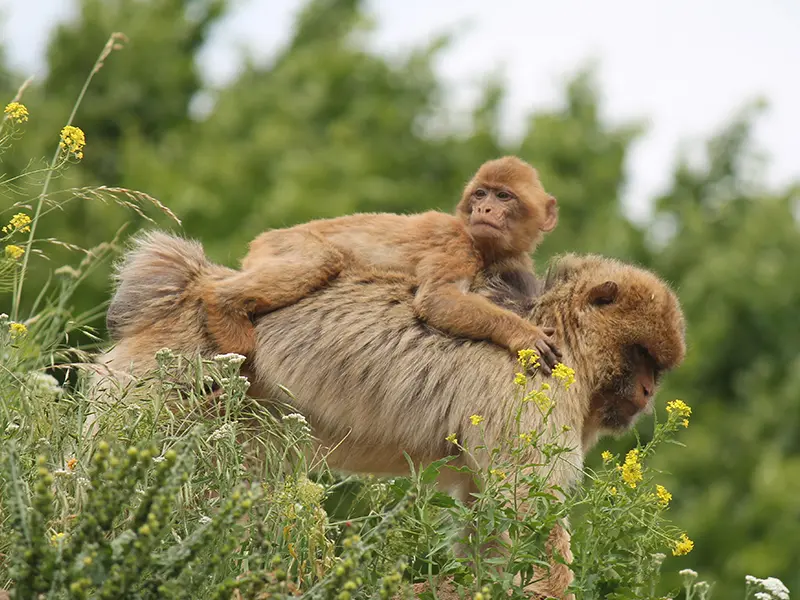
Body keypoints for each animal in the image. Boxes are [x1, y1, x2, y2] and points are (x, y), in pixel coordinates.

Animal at [97, 231, 686, 599]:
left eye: (657, 367)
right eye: (641, 355)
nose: (647, 390)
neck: (561, 336)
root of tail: (186, 288)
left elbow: (492, 524)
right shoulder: (537, 394)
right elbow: (524, 513)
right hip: (170, 379)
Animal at [194, 156, 562, 372]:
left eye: (503, 197)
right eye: (481, 194)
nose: (484, 210)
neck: (484, 249)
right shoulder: (457, 245)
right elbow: (436, 299)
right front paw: (521, 334)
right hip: (281, 243)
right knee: (322, 259)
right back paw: (220, 302)